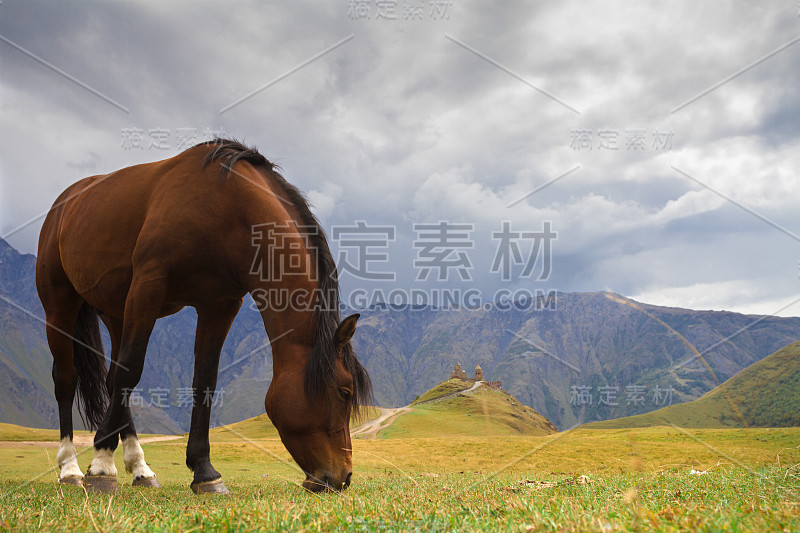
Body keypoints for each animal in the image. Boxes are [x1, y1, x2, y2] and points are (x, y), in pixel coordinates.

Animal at [36, 138, 374, 494]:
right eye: (344, 392)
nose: (343, 477)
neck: (227, 209)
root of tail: (65, 202)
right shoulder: (149, 286)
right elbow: (132, 372)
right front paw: (101, 465)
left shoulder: (219, 305)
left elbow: (204, 381)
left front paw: (204, 471)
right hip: (60, 304)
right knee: (67, 379)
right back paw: (71, 469)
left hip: (116, 313)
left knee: (114, 377)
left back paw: (141, 469)